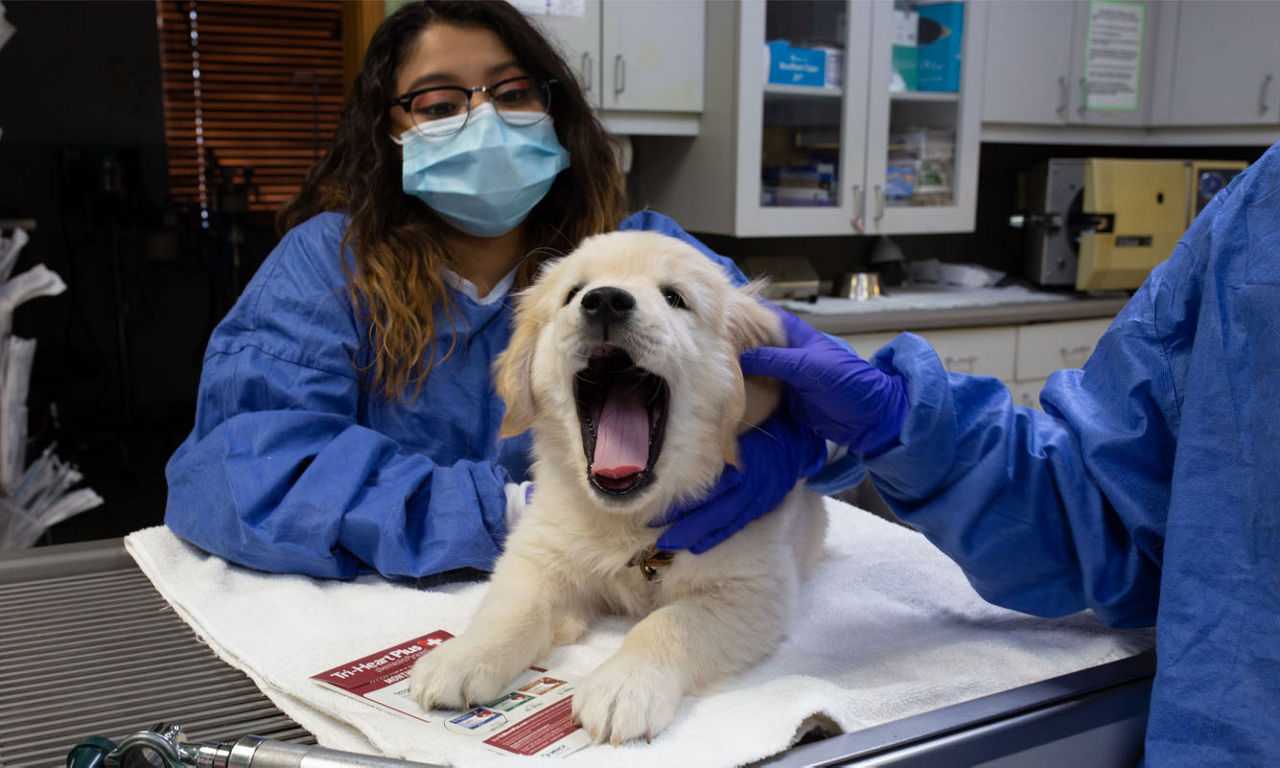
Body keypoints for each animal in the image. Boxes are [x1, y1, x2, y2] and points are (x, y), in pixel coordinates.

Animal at [409, 229, 829, 742]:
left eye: (675, 297)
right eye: (573, 292)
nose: (605, 300)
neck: (628, 521)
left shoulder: (752, 592)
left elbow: (667, 623)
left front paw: (625, 685)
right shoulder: (536, 555)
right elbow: (511, 609)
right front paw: (464, 656)